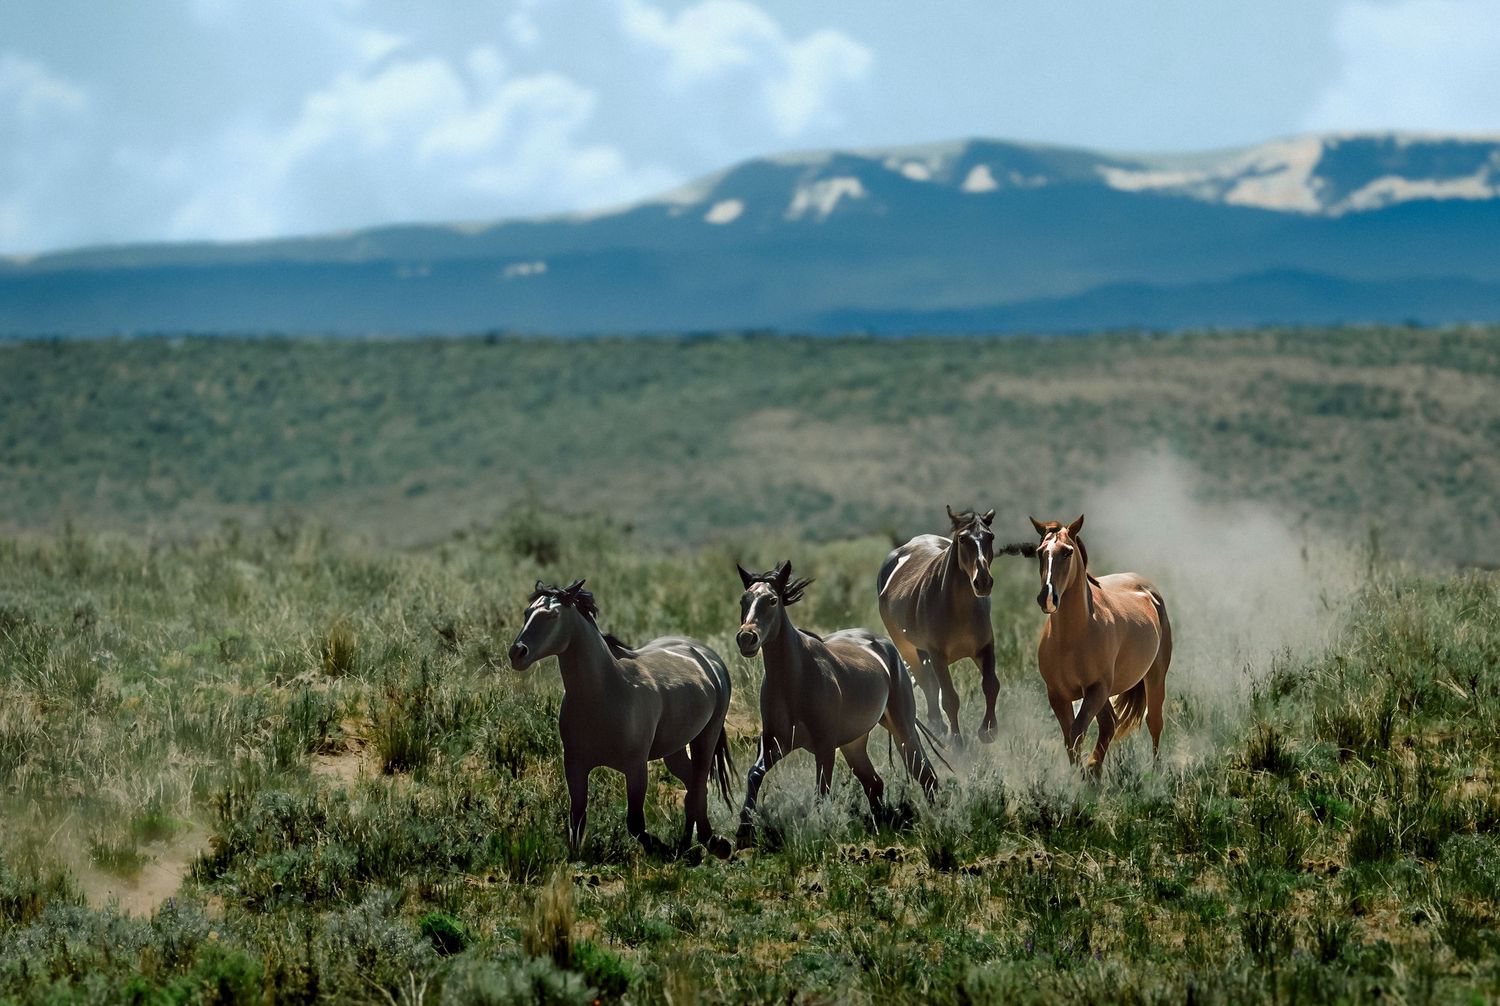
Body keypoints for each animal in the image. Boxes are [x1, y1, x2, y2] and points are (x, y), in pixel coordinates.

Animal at [507, 579, 735, 860]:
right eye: (527, 613)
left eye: (552, 615)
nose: (517, 653)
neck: (605, 692)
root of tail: (707, 656)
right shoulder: (575, 765)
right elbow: (577, 819)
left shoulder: (636, 767)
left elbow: (635, 823)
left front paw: (660, 848)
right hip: (675, 748)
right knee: (693, 786)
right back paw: (691, 844)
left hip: (706, 737)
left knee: (699, 785)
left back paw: (711, 844)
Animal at [733, 561, 941, 846]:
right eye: (744, 599)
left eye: (772, 600)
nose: (746, 638)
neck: (795, 678)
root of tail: (884, 644)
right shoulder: (775, 742)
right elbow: (754, 774)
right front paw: (744, 833)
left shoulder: (824, 746)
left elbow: (821, 792)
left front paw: (819, 833)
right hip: (854, 744)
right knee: (875, 783)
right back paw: (880, 828)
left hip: (902, 728)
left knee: (926, 775)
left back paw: (938, 821)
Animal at [878, 506, 1032, 743]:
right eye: (962, 539)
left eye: (990, 536)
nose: (983, 582)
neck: (958, 610)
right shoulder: (937, 655)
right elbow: (950, 698)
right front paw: (958, 741)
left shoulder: (985, 647)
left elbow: (991, 685)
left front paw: (988, 730)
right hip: (910, 650)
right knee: (928, 686)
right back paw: (938, 727)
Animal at [1030, 515, 1172, 775]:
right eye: (1039, 552)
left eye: (1067, 552)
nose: (1047, 597)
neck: (1071, 638)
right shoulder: (1057, 694)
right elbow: (1070, 737)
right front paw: (1080, 772)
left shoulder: (1095, 689)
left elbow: (1077, 731)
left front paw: (1083, 772)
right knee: (1110, 723)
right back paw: (1095, 770)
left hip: (1154, 677)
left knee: (1154, 722)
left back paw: (1155, 773)